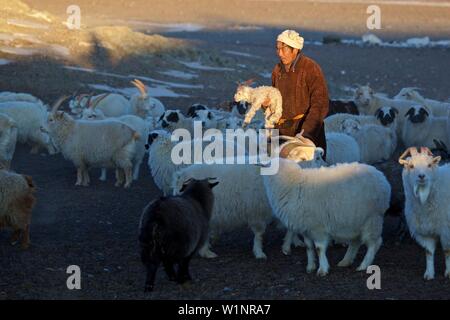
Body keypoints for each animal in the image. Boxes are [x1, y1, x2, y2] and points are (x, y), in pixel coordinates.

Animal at [400, 148, 450, 280]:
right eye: (411, 166)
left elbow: (447, 251)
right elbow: (429, 252)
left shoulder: (446, 230)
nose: (421, 176)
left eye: (429, 165)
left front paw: (449, 272)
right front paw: (429, 273)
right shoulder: (425, 230)